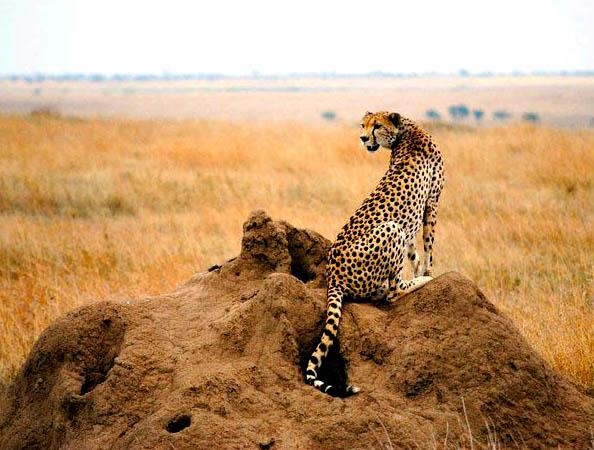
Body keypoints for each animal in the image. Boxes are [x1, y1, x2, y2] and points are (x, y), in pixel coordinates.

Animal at [308, 110, 442, 396]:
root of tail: (332, 275)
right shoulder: (432, 201)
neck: (407, 131)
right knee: (392, 292)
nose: (361, 138)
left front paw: (420, 268)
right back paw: (420, 281)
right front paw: (428, 271)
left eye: (376, 126)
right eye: (363, 125)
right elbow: (429, 243)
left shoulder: (415, 220)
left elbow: (414, 251)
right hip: (391, 228)